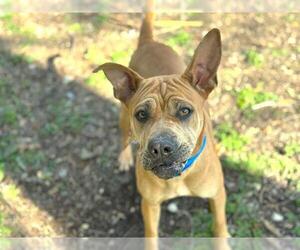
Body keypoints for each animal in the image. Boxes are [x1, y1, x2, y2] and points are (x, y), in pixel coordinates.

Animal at [94, 5, 230, 244]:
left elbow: (219, 224)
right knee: (123, 137)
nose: (160, 148)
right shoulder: (149, 205)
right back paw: (124, 158)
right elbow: (151, 235)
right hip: (123, 119)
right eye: (141, 114)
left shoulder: (217, 194)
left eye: (185, 111)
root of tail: (149, 42)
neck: (180, 176)